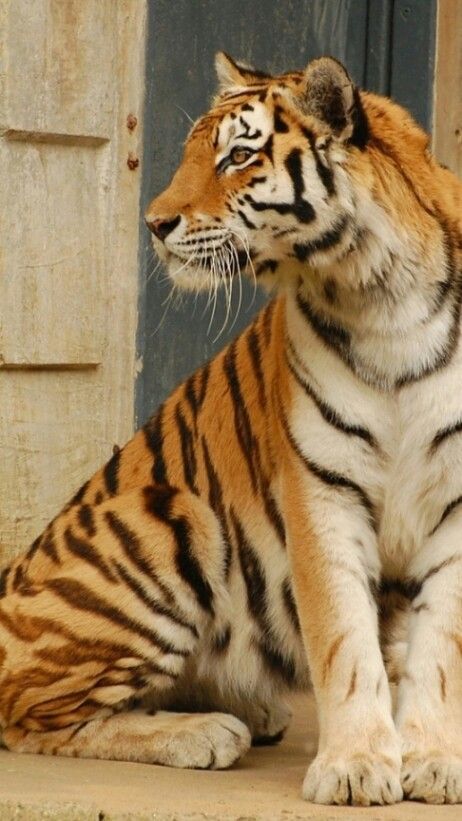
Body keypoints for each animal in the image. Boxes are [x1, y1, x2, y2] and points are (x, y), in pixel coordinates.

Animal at [0, 51, 462, 808]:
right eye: (193, 153)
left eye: (239, 157)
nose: (154, 223)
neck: (378, 295)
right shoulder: (322, 494)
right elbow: (345, 641)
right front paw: (357, 766)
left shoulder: (454, 502)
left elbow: (439, 648)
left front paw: (434, 759)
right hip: (171, 518)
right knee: (31, 716)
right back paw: (204, 732)